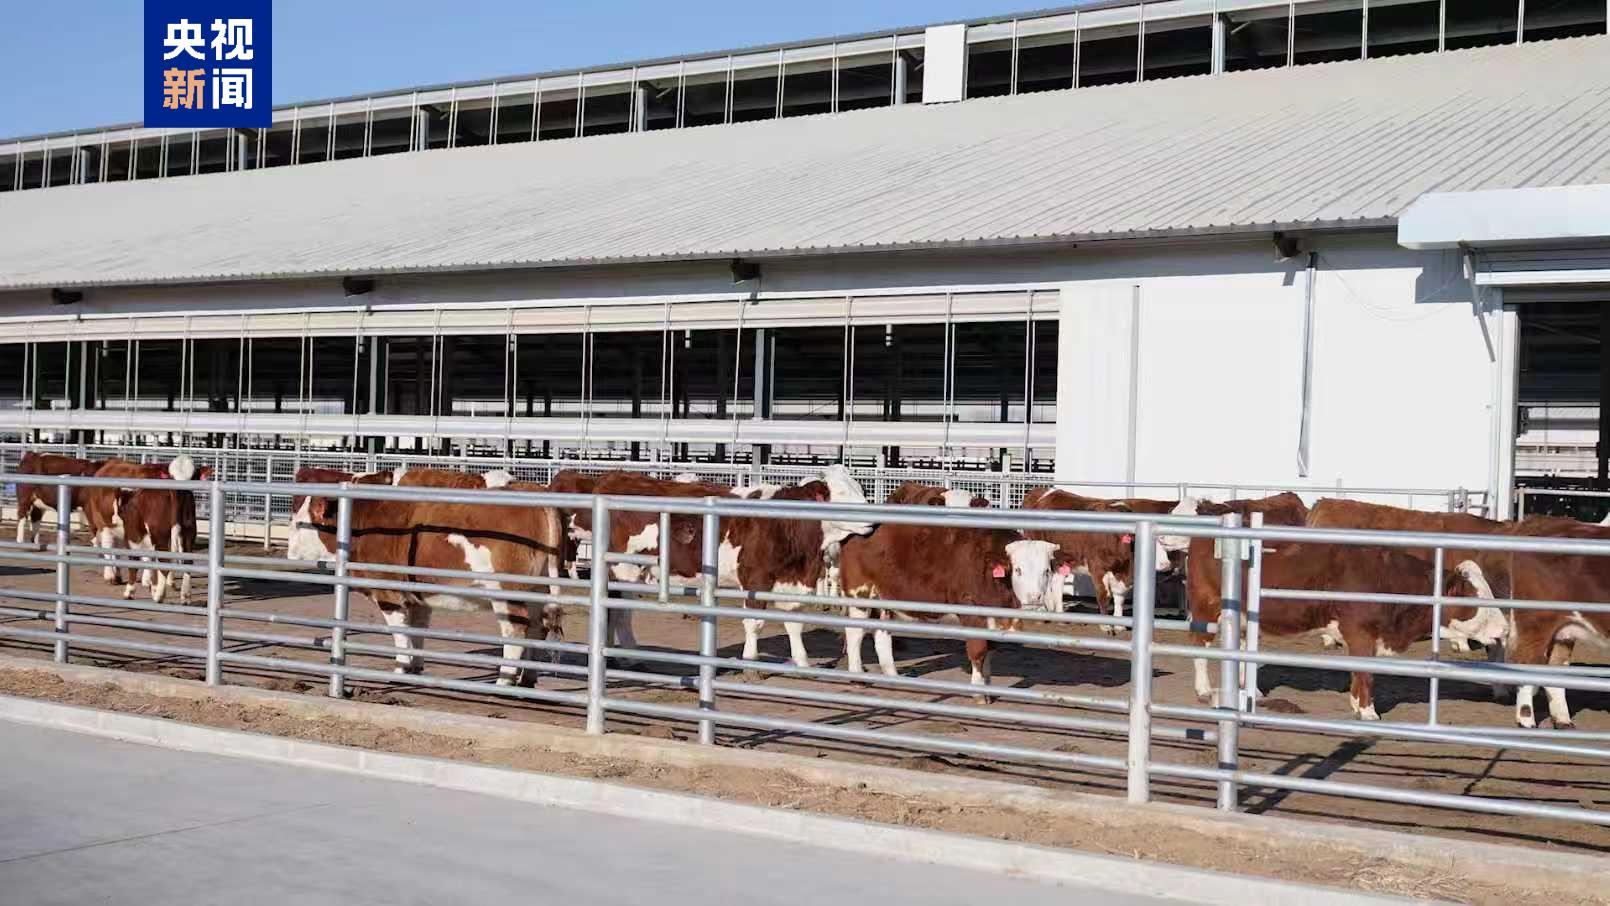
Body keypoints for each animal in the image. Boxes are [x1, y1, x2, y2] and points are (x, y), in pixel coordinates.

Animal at [285, 491, 565, 686]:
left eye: (300, 524)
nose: (288, 554)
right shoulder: (418, 596)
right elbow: (417, 630)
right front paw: (416, 668)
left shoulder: (388, 592)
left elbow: (400, 633)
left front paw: (400, 670)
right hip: (536, 590)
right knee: (537, 628)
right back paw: (528, 679)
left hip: (507, 591)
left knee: (515, 630)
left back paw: (504, 680)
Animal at [839, 522, 1064, 698]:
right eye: (1018, 570)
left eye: (1046, 571)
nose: (1034, 597)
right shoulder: (974, 613)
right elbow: (978, 651)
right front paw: (979, 691)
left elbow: (990, 650)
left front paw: (988, 687)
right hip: (860, 593)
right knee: (855, 633)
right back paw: (857, 677)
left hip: (884, 598)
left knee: (882, 635)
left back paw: (893, 676)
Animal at [1185, 538, 1484, 719]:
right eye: (1475, 597)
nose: (1497, 631)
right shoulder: (1362, 634)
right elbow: (1366, 674)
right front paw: (1368, 712)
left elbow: (1356, 673)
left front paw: (1356, 705)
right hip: (1206, 606)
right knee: (1200, 645)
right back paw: (1203, 690)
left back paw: (1252, 692)